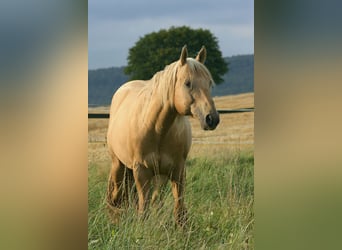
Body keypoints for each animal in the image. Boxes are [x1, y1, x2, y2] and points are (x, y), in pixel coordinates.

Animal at [107, 46, 219, 226]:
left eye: (209, 83)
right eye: (187, 83)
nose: (212, 118)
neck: (157, 129)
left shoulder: (177, 170)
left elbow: (179, 210)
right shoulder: (141, 171)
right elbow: (143, 208)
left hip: (159, 175)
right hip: (119, 165)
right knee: (116, 197)